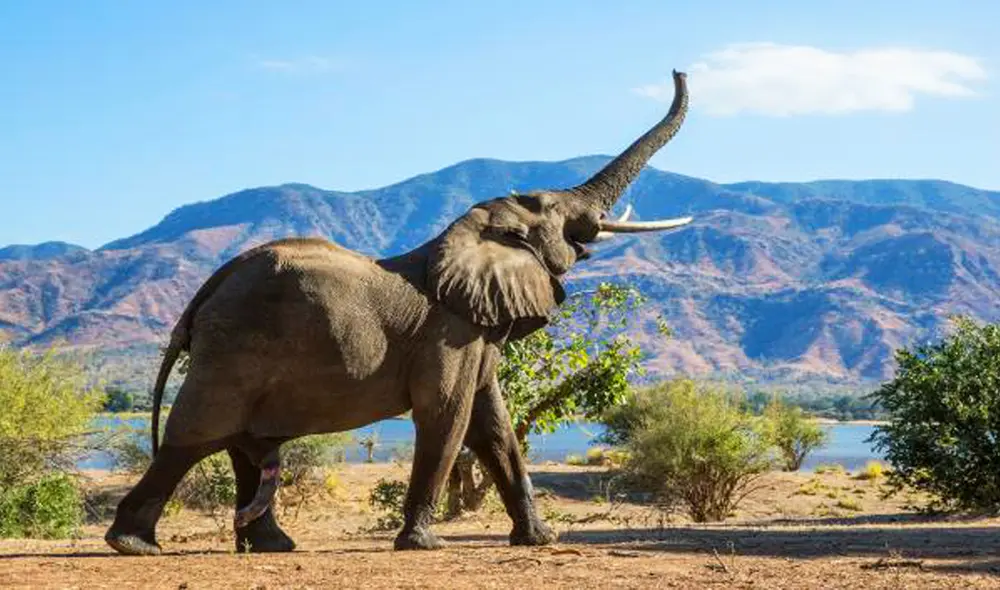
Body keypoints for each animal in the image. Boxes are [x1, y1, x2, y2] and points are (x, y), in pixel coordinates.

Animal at [104, 70, 691, 556]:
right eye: (552, 211)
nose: (679, 70)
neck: (467, 234)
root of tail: (204, 295)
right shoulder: (448, 334)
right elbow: (447, 416)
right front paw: (423, 544)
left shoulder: (475, 331)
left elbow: (495, 427)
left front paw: (539, 540)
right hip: (233, 350)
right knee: (195, 436)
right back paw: (132, 545)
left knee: (243, 446)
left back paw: (271, 546)